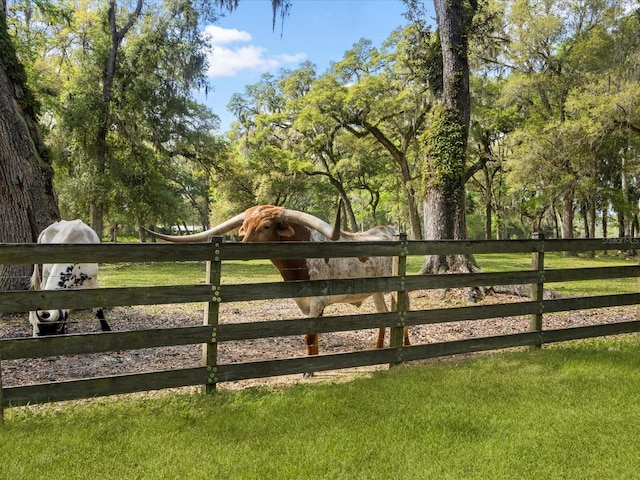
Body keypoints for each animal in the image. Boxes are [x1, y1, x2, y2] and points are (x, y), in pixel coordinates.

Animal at [145, 204, 410, 358]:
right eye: (244, 225)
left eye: (266, 226)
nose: (242, 245)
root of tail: (389, 231)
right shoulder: (303, 303)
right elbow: (310, 338)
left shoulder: (317, 301)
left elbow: (310, 336)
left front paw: (308, 372)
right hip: (377, 290)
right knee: (384, 315)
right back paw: (379, 350)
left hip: (398, 288)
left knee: (404, 311)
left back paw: (405, 346)